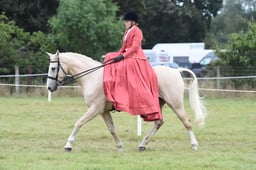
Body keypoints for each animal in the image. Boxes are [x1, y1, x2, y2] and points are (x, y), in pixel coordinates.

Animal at [46, 50, 206, 151]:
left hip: (175, 104)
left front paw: (68, 145)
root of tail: (175, 71)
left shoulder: (95, 109)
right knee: (158, 122)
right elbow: (112, 129)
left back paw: (194, 145)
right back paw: (142, 144)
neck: (93, 77)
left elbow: (79, 123)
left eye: (53, 68)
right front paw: (120, 146)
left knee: (186, 122)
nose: (49, 87)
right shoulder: (103, 111)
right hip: (158, 104)